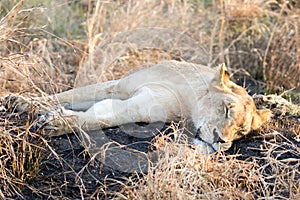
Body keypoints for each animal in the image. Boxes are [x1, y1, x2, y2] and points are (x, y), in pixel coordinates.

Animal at [14, 60, 272, 152]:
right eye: (226, 109)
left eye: (241, 131)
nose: (221, 140)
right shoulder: (119, 85)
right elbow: (71, 94)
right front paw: (21, 101)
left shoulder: (145, 104)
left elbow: (102, 116)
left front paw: (55, 123)